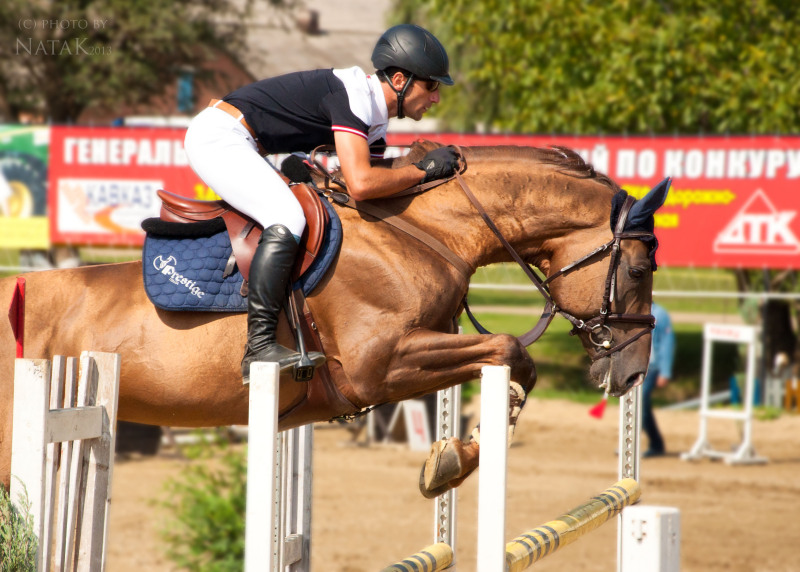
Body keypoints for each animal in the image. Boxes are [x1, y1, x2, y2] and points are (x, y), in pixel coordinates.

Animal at [0, 142, 664, 496]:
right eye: (637, 270)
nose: (633, 374)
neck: (424, 231)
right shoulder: (379, 366)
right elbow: (509, 349)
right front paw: (450, 461)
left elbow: (509, 364)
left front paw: (452, 457)